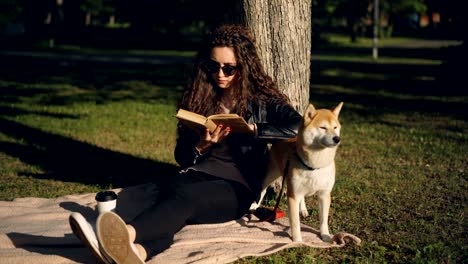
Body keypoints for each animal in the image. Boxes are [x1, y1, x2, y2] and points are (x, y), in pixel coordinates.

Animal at [252, 102, 344, 242]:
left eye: (335, 127)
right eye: (323, 127)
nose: (337, 138)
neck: (314, 165)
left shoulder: (324, 194)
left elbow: (323, 220)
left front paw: (326, 236)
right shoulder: (292, 195)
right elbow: (295, 223)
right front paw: (297, 241)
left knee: (302, 197)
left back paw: (303, 209)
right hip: (271, 174)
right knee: (262, 190)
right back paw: (254, 206)